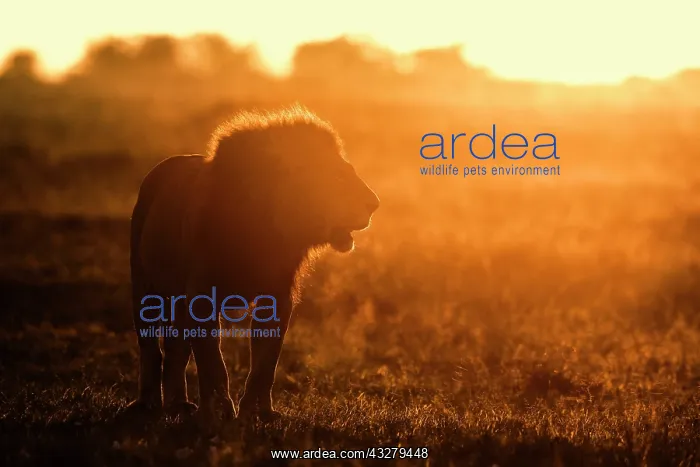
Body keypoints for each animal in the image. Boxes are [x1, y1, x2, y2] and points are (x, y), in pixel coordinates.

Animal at [127, 104, 380, 421]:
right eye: (337, 178)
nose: (375, 204)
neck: (268, 231)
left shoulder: (278, 297)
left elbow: (266, 361)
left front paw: (258, 411)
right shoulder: (201, 296)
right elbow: (213, 360)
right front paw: (220, 410)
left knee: (176, 348)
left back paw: (178, 405)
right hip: (145, 289)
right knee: (151, 348)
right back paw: (147, 403)